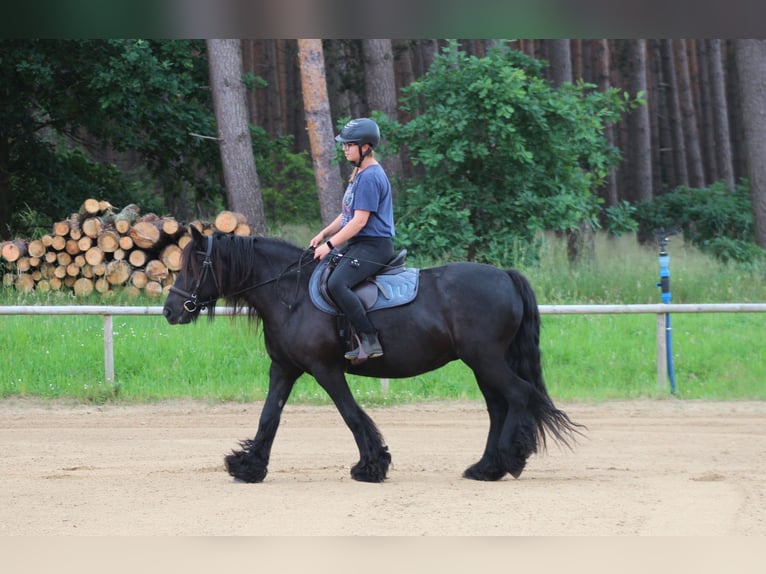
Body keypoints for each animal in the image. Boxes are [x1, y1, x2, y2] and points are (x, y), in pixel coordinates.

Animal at [162, 227, 584, 484]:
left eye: (194, 266)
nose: (170, 310)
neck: (291, 294)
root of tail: (505, 276)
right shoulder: (283, 369)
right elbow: (269, 417)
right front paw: (249, 466)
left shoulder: (326, 370)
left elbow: (351, 415)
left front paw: (371, 465)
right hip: (483, 364)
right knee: (499, 407)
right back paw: (486, 467)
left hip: (487, 361)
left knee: (518, 396)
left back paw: (509, 460)